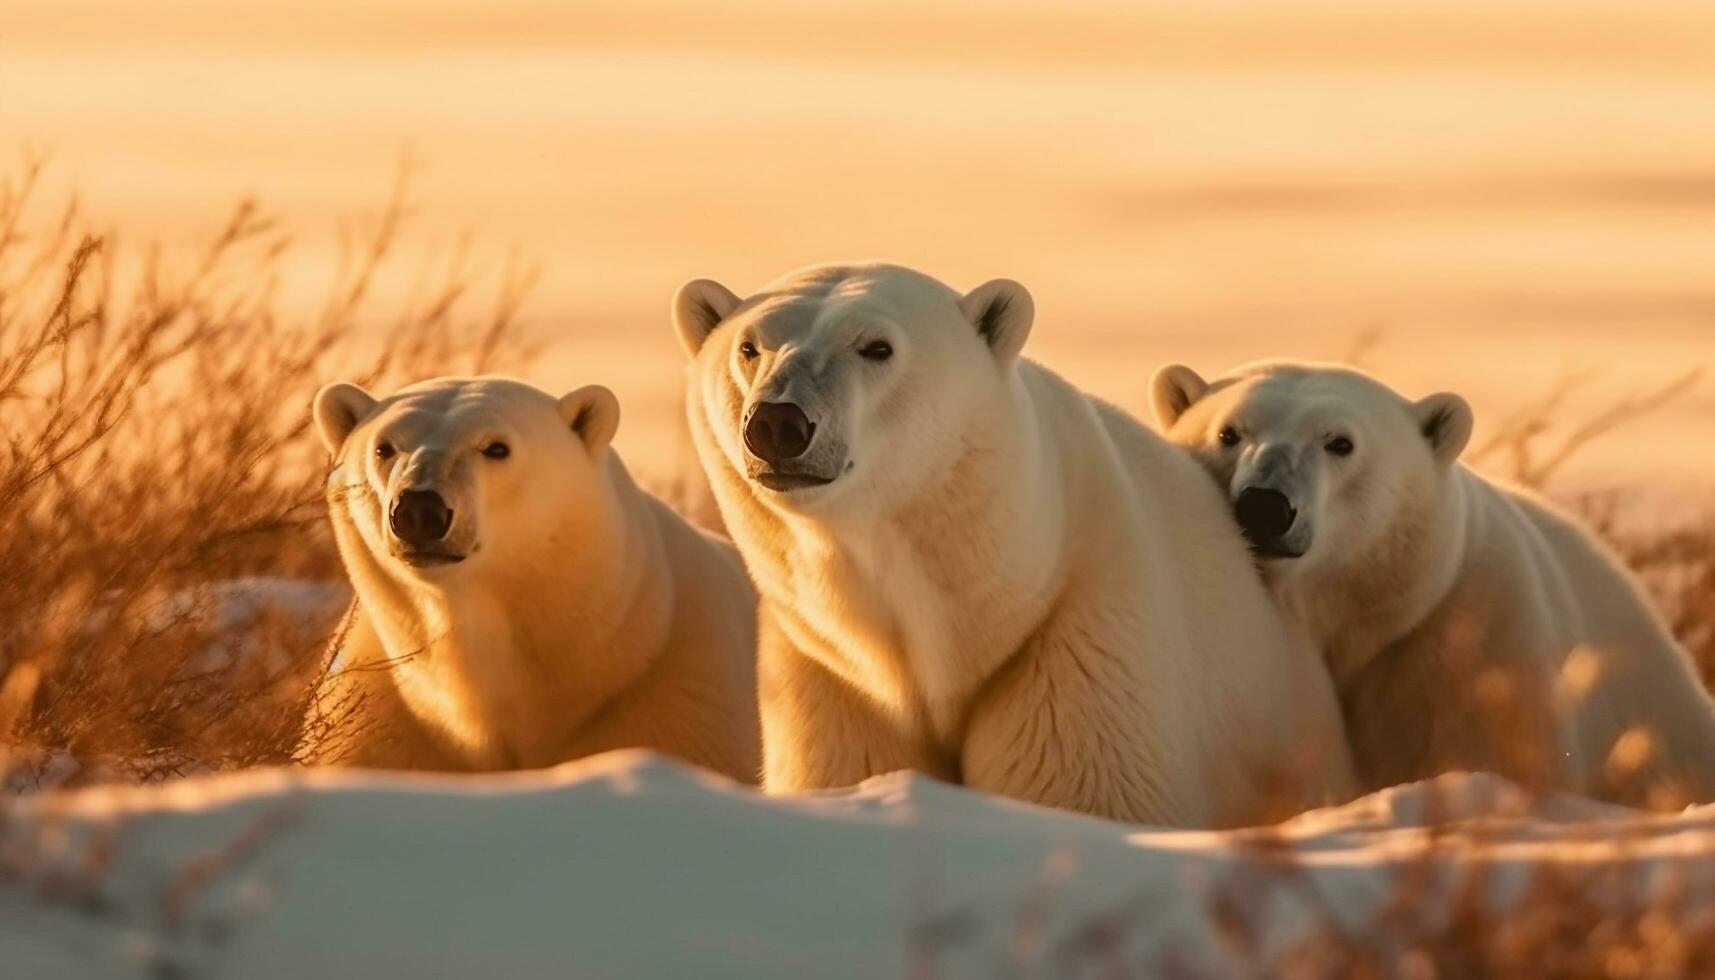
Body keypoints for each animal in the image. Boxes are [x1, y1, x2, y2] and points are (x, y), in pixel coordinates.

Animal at [668, 262, 1351, 827]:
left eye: (876, 347)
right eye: (749, 347)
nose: (777, 422)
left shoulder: (1080, 636)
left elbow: (1083, 797)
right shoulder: (832, 677)